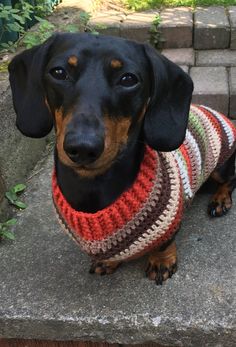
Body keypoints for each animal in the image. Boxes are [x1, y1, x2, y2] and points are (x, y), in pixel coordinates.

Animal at [7, 33, 236, 286]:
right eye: (58, 72)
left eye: (128, 79)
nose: (82, 147)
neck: (93, 186)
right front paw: (108, 262)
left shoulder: (169, 219)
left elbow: (164, 242)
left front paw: (161, 261)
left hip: (221, 167)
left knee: (230, 180)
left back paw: (220, 200)